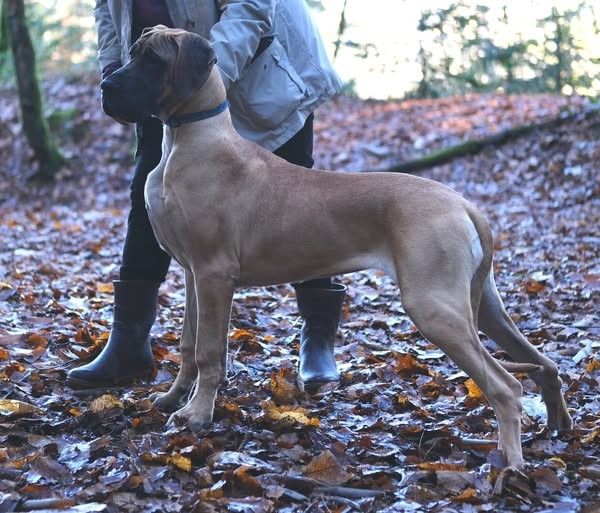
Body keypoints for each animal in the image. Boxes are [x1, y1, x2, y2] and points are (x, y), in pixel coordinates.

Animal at [100, 26, 572, 468]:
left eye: (155, 60)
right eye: (132, 53)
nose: (106, 86)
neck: (189, 139)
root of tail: (463, 204)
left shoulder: (214, 274)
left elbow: (209, 351)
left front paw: (198, 415)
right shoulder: (193, 275)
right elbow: (187, 344)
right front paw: (173, 398)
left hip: (434, 306)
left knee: (506, 385)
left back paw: (510, 466)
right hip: (481, 304)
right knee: (543, 365)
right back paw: (558, 428)